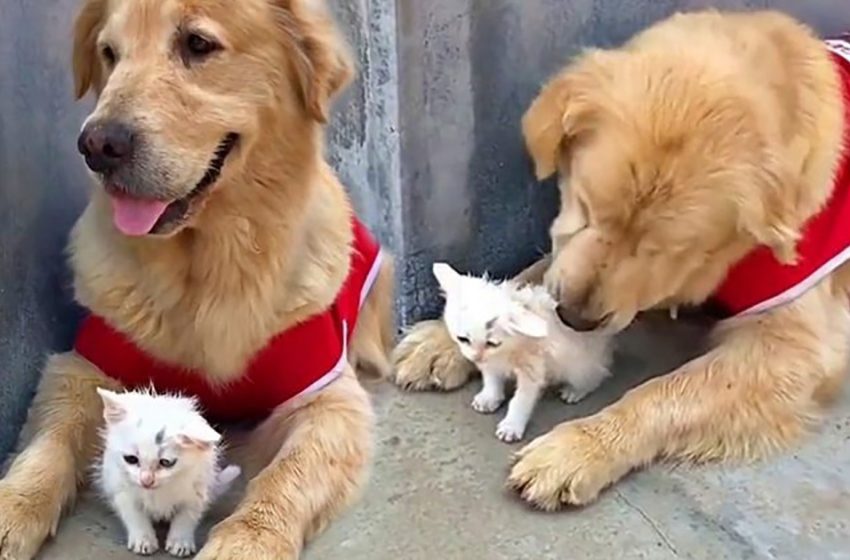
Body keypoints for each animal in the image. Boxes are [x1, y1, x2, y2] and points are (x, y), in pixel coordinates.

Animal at [96, 390, 242, 556]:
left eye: (166, 462)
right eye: (131, 459)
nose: (146, 480)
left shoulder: (197, 489)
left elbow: (186, 516)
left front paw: (180, 541)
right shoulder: (120, 487)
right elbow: (134, 514)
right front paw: (144, 539)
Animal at [434, 262, 612, 442]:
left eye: (492, 343)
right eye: (463, 339)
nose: (476, 358)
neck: (510, 348)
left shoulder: (533, 368)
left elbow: (521, 399)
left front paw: (512, 425)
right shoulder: (491, 362)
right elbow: (492, 377)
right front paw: (490, 397)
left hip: (579, 365)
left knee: (596, 374)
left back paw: (576, 390)